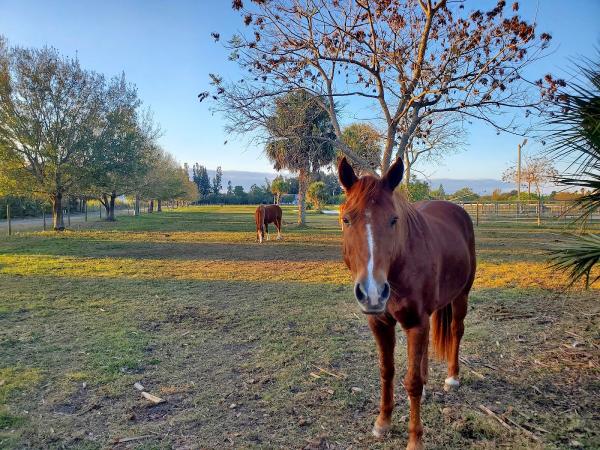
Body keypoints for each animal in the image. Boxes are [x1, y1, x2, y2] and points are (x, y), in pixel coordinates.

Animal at [340, 157, 476, 450]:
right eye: (346, 219)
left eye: (394, 220)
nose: (372, 292)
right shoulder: (380, 323)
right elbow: (387, 370)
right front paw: (383, 422)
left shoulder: (415, 322)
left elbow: (411, 382)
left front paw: (414, 439)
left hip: (462, 295)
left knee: (457, 331)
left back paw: (453, 377)